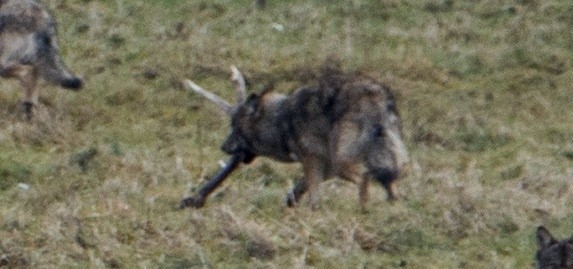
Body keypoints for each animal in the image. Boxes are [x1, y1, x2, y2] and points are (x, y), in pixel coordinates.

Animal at [180, 61, 406, 210]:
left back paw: (363, 211)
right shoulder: (325, 164)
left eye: (235, 128)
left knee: (365, 178)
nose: (223, 147)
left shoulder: (313, 159)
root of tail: (375, 98)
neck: (280, 120)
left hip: (344, 161)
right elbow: (298, 191)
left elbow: (313, 196)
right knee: (390, 187)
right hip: (384, 158)